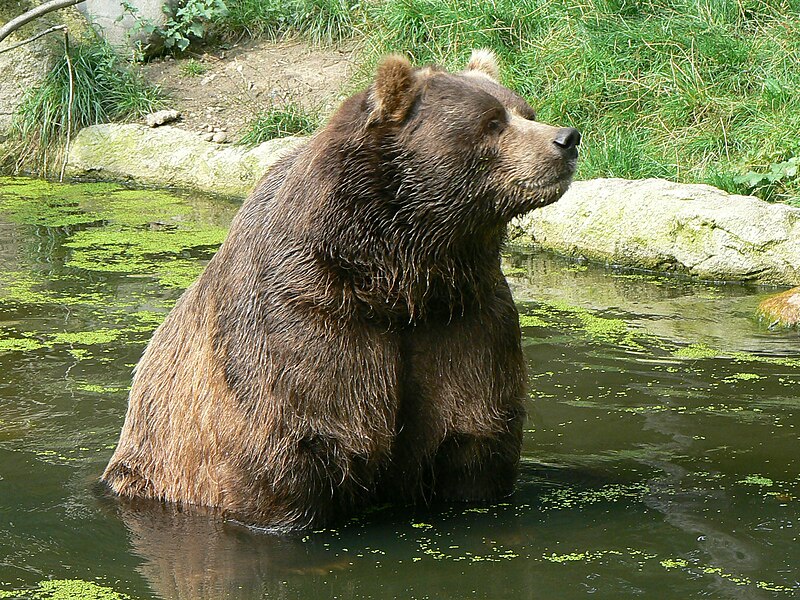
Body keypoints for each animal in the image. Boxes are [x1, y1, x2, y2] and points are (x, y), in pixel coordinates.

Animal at [103, 50, 580, 528]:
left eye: (525, 111)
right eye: (492, 121)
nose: (566, 138)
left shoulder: (465, 317)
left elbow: (474, 437)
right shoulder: (305, 319)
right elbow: (290, 449)